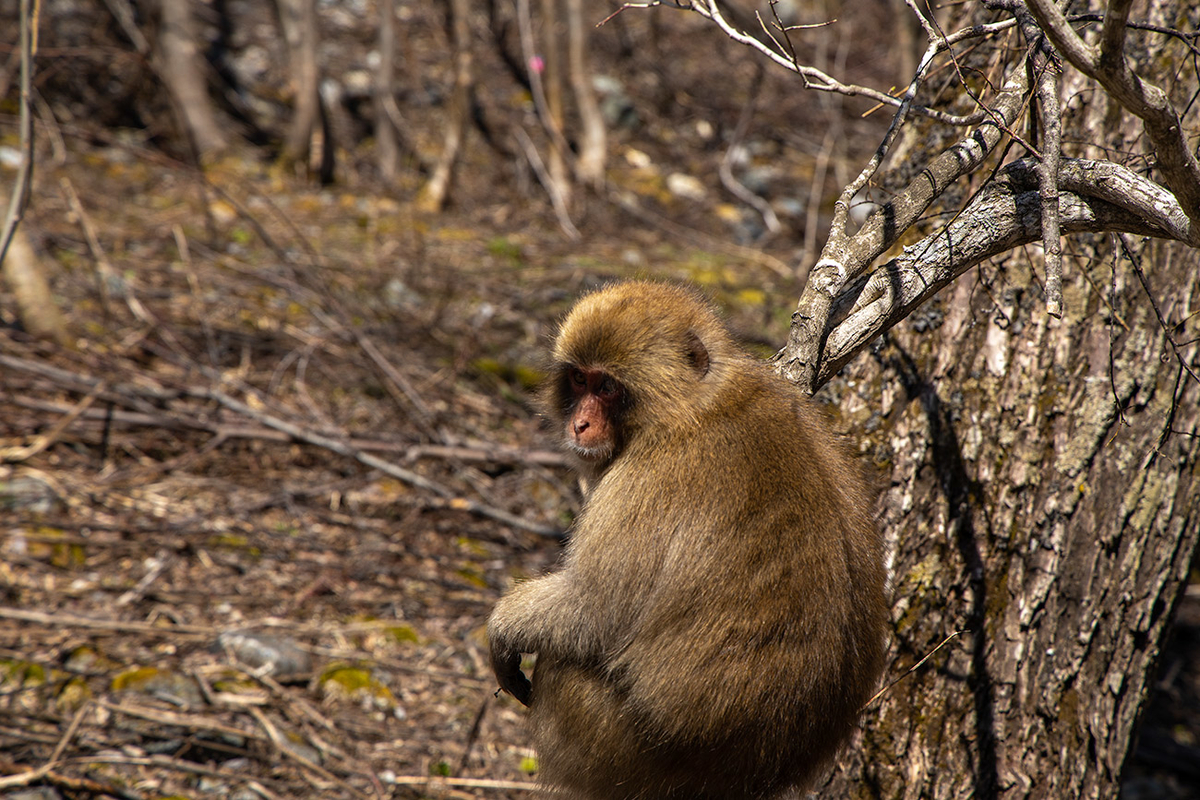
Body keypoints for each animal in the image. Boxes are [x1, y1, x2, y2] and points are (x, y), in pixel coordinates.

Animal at [487, 278, 892, 796]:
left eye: (607, 387)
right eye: (578, 380)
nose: (579, 423)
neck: (691, 402)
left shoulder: (643, 481)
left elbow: (596, 610)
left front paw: (504, 627)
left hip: (620, 750)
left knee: (563, 665)